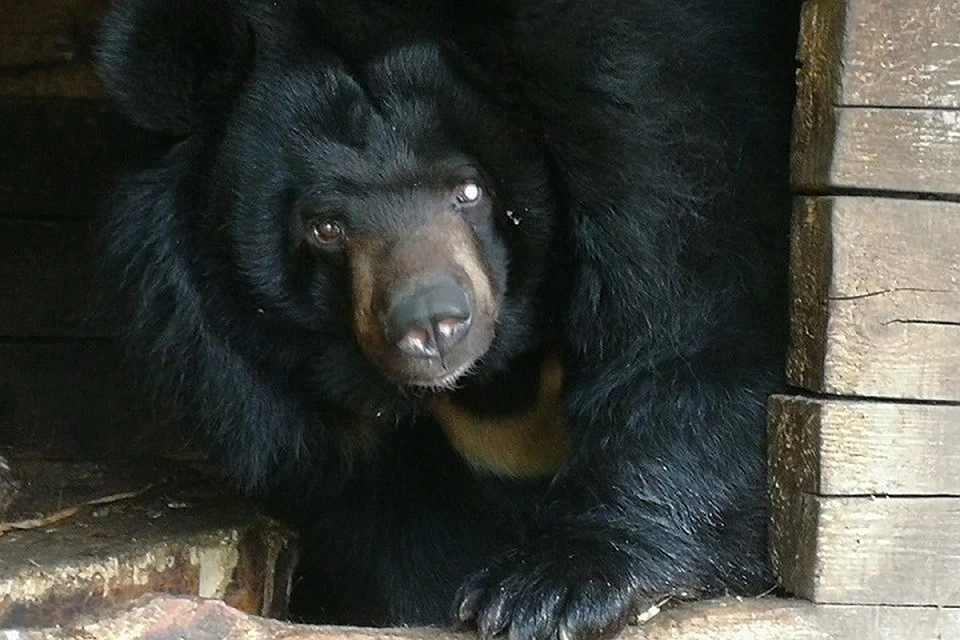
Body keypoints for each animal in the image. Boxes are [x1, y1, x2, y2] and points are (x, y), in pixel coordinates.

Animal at [97, 1, 800, 636]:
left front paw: (545, 594)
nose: (432, 325)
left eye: (468, 189)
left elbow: (692, 340)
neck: (496, 383)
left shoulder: (656, 145)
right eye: (326, 228)